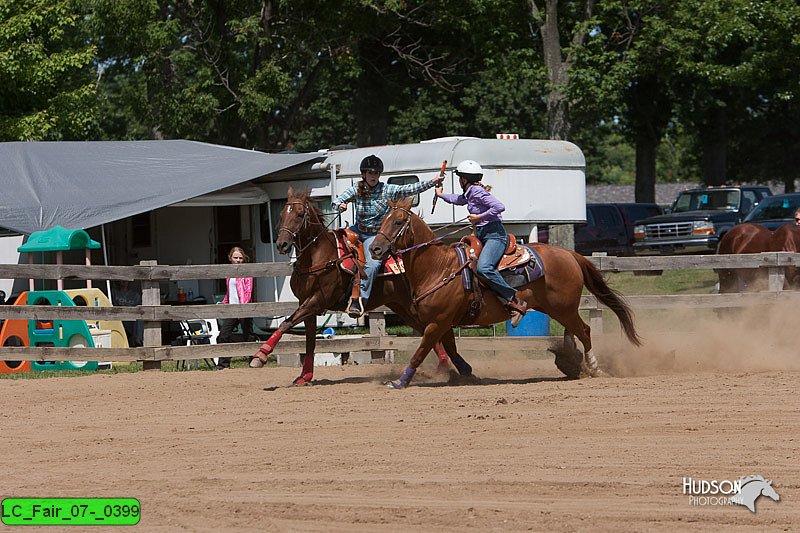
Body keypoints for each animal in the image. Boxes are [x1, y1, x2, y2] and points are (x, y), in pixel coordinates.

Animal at [252, 189, 476, 384]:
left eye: (299, 215)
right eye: (282, 214)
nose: (281, 244)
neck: (318, 257)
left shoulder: (317, 301)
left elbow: (285, 323)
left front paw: (259, 356)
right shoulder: (307, 304)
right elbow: (309, 342)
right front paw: (304, 376)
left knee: (433, 331)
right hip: (403, 307)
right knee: (430, 332)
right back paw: (446, 366)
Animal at [370, 198, 644, 386]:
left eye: (397, 222)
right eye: (382, 220)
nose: (375, 249)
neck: (438, 267)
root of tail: (569, 254)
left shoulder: (437, 322)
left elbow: (420, 352)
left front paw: (400, 382)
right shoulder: (443, 323)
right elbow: (451, 349)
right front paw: (468, 374)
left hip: (564, 308)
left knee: (584, 331)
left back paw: (593, 367)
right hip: (561, 309)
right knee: (574, 331)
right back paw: (571, 361)